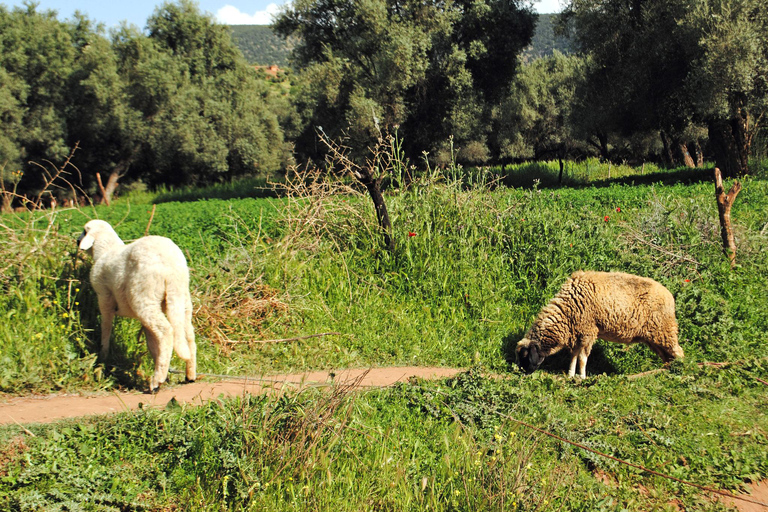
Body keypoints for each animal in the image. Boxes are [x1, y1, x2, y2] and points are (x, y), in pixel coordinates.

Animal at [77, 218, 196, 390]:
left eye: (84, 231)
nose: (77, 241)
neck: (105, 250)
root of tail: (171, 266)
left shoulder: (104, 297)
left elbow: (106, 327)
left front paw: (103, 356)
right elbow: (152, 343)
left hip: (144, 296)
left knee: (166, 331)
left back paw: (156, 381)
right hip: (180, 300)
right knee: (188, 335)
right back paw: (189, 375)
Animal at [516, 270, 684, 378]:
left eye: (525, 355)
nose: (521, 373)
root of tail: (670, 296)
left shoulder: (588, 331)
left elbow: (582, 358)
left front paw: (582, 377)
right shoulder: (578, 333)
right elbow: (574, 356)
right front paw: (570, 375)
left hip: (664, 330)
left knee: (679, 353)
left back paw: (681, 374)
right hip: (654, 338)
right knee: (668, 357)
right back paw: (662, 372)